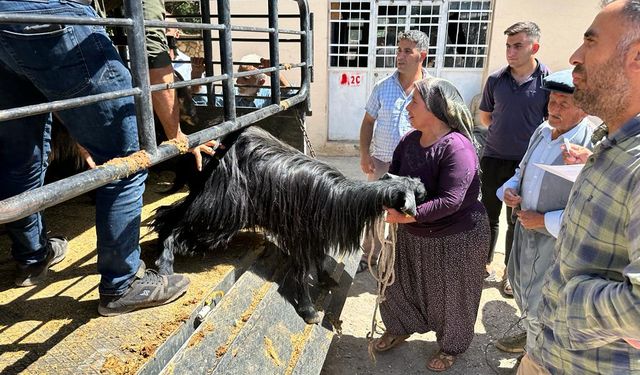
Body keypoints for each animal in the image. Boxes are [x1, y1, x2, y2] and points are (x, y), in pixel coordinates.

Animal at [152, 128, 428, 324]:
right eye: (418, 193)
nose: (427, 193)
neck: (338, 198)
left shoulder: (314, 235)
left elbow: (319, 259)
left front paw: (327, 279)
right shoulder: (300, 236)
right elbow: (301, 270)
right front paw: (308, 310)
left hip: (207, 200)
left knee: (167, 213)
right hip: (218, 210)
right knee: (174, 223)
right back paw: (165, 264)